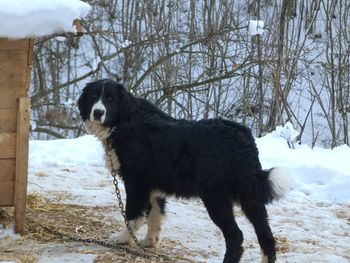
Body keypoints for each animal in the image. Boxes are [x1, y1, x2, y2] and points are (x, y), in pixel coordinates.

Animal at [78, 79, 288, 263]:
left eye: (110, 99)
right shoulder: (153, 186)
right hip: (250, 197)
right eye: (94, 96)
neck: (125, 121)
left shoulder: (136, 184)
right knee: (267, 237)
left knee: (236, 236)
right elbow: (155, 217)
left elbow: (133, 216)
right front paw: (149, 242)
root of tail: (241, 136)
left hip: (216, 198)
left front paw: (122, 238)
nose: (98, 112)